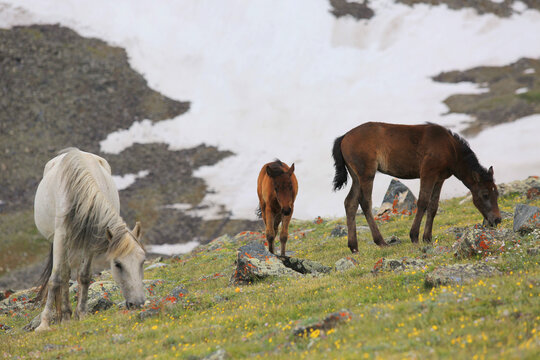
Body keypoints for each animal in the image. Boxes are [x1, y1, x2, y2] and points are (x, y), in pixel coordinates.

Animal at [34, 148, 147, 330]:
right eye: (117, 264)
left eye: (143, 261)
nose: (138, 304)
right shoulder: (60, 236)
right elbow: (55, 278)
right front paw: (44, 324)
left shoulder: (90, 241)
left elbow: (84, 276)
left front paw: (82, 313)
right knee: (63, 274)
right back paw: (64, 316)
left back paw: (67, 314)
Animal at [334, 122, 502, 252]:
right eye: (485, 194)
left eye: (497, 194)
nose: (497, 220)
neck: (450, 148)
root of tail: (344, 137)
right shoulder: (428, 173)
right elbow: (422, 202)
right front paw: (414, 236)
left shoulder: (439, 179)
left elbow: (433, 206)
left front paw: (427, 238)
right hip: (366, 174)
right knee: (365, 202)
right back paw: (381, 241)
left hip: (356, 177)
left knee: (350, 202)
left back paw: (354, 247)